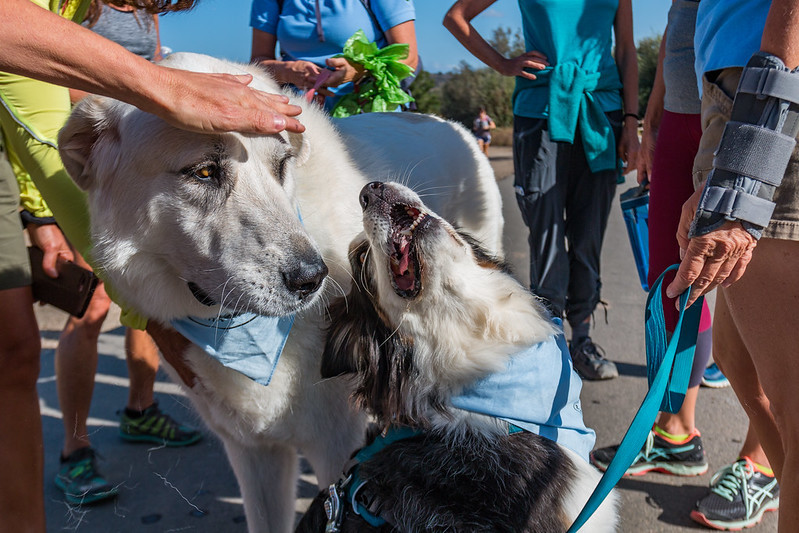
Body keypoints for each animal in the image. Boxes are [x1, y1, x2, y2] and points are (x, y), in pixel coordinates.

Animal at [59, 51, 504, 532]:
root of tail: (447, 122)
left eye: (281, 166)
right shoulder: (254, 453)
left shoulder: (338, 449)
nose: (313, 278)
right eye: (204, 172)